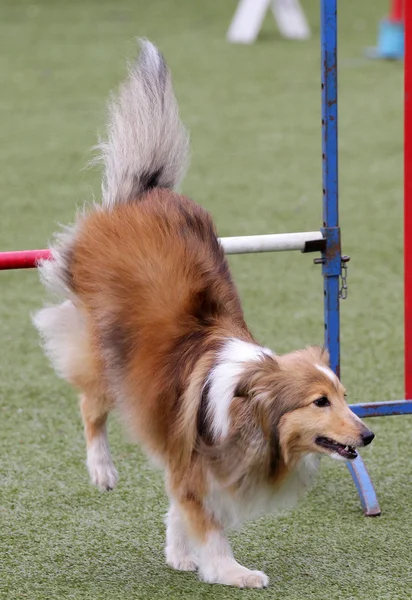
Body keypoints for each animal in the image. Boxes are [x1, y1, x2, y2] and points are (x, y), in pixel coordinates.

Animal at [33, 39, 374, 588]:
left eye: (344, 396)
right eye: (320, 402)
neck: (248, 412)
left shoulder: (186, 463)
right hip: (104, 350)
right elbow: (207, 523)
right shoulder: (194, 460)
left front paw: (179, 554)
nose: (368, 434)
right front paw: (231, 571)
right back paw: (102, 470)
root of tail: (146, 191)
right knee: (89, 404)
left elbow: (179, 508)